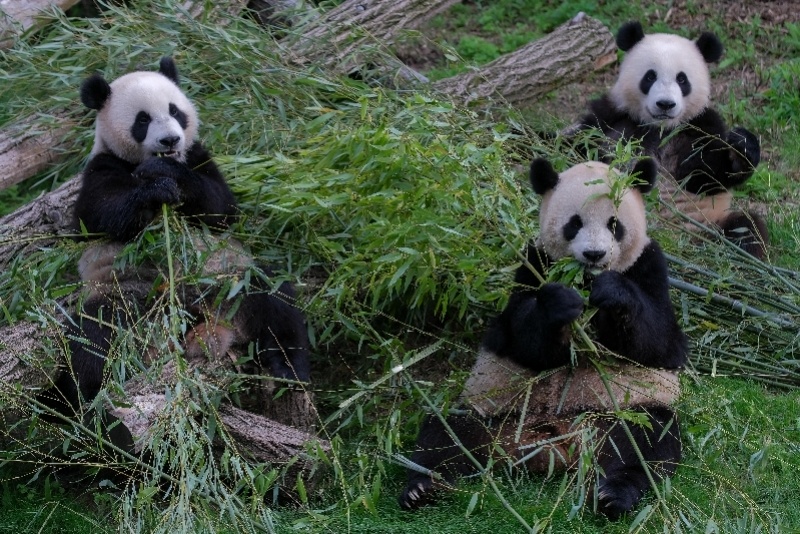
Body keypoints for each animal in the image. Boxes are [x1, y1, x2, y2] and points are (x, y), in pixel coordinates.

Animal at [50, 58, 310, 416]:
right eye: (142, 120)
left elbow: (221, 209)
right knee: (96, 337)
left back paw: (287, 369)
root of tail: (203, 320)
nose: (171, 141)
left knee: (275, 301)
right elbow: (98, 216)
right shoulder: (102, 166)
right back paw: (86, 402)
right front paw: (154, 189)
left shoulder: (198, 156)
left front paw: (171, 178)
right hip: (129, 293)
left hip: (230, 277)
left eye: (175, 111)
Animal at [400, 157, 688, 520]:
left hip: (623, 411)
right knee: (446, 434)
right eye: (574, 224)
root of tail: (555, 446)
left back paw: (614, 495)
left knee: (646, 444)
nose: (594, 255)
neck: (584, 279)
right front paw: (560, 304)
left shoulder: (649, 263)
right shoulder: (532, 261)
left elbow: (659, 340)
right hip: (493, 411)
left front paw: (611, 292)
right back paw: (422, 487)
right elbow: (519, 334)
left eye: (615, 224)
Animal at [568, 22, 764, 260]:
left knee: (746, 229)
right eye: (650, 77)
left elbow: (710, 176)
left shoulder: (699, 126)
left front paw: (741, 145)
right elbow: (579, 147)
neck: (660, 128)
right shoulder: (611, 118)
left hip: (711, 223)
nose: (665, 104)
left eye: (682, 79)